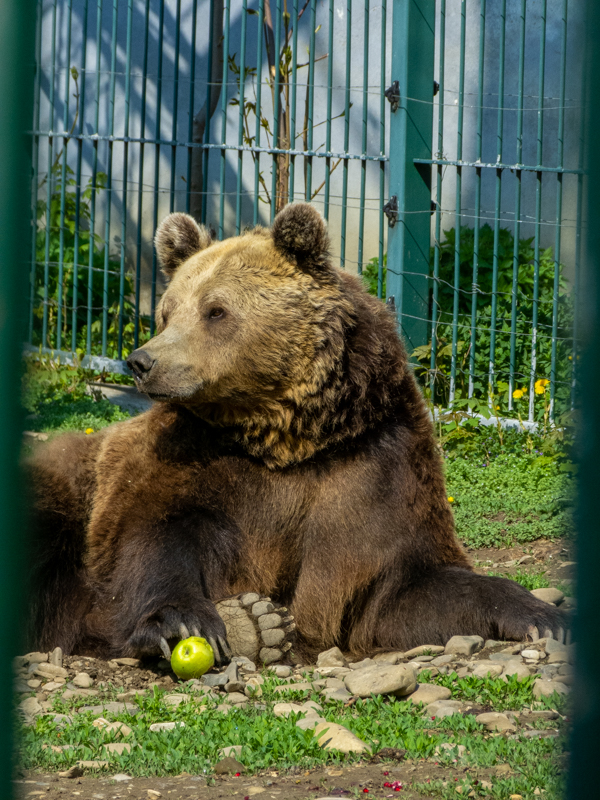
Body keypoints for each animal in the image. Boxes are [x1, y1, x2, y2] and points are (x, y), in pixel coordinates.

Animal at [26, 202, 567, 664]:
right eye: (167, 310)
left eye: (215, 310)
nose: (142, 362)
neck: (283, 436)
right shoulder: (184, 463)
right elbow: (151, 540)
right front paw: (187, 622)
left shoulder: (372, 462)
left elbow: (403, 584)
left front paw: (541, 615)